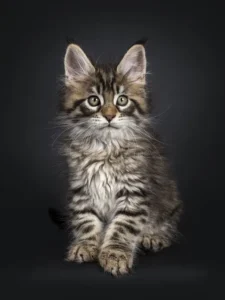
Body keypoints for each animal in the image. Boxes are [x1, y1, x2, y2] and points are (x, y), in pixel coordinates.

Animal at [56, 40, 183, 276]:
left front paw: (115, 254)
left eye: (122, 100)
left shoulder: (133, 191)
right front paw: (86, 245)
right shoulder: (82, 188)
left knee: (167, 225)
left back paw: (153, 236)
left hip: (170, 201)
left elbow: (122, 227)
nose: (109, 115)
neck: (105, 148)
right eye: (94, 100)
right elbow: (86, 219)